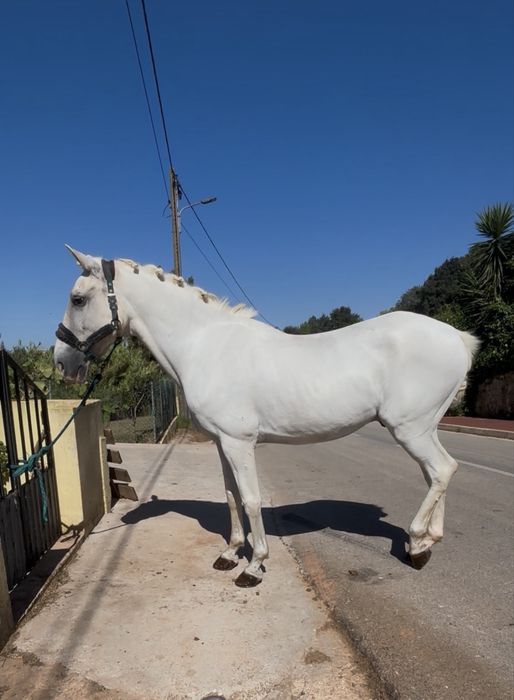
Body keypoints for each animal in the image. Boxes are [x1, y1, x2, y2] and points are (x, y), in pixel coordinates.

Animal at [54, 246, 480, 587]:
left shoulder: (239, 442)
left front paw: (255, 565)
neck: (204, 345)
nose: (61, 363)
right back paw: (424, 542)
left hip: (410, 429)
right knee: (437, 474)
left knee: (442, 470)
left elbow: (251, 499)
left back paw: (417, 544)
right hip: (424, 429)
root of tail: (457, 337)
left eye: (78, 299)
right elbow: (230, 497)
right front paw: (229, 554)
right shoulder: (221, 444)